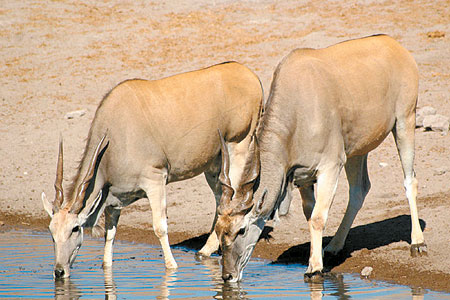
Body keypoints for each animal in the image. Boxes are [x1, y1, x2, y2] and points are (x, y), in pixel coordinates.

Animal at [41, 62, 264, 280]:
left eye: (75, 228)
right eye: (51, 232)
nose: (59, 271)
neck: (115, 134)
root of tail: (250, 75)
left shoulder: (155, 180)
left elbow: (159, 227)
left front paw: (172, 266)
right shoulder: (114, 198)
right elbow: (110, 233)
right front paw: (106, 266)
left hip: (237, 146)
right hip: (215, 163)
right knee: (220, 198)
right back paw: (206, 250)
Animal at [216, 34, 428, 282]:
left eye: (241, 230)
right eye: (219, 231)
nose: (228, 276)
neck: (298, 107)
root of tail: (394, 45)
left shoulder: (330, 167)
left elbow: (318, 217)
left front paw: (314, 267)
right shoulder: (303, 177)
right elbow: (311, 215)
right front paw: (316, 258)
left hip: (405, 121)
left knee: (409, 180)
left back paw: (417, 242)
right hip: (357, 151)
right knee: (360, 189)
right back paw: (334, 246)